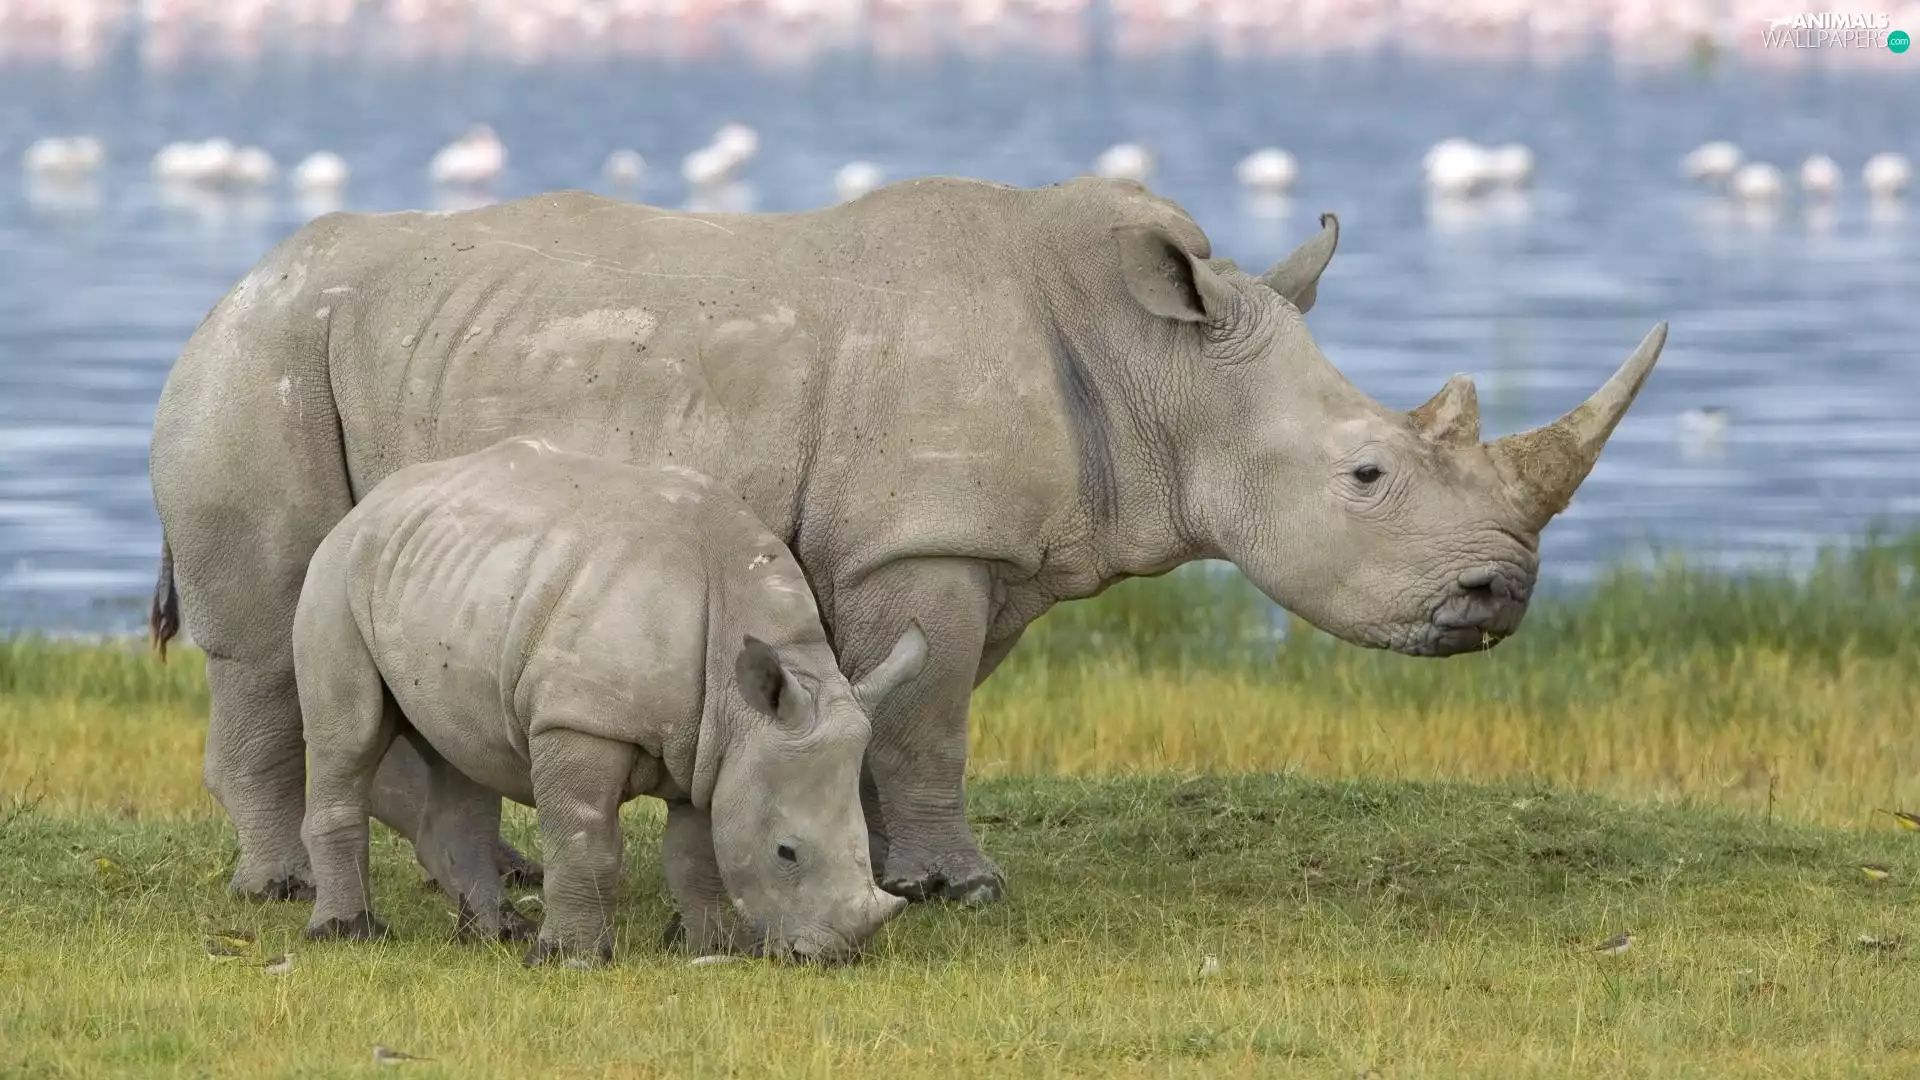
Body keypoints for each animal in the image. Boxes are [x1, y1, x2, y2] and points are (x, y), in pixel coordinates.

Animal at [295, 437, 922, 964]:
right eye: (786, 852)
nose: (832, 956)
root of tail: (375, 499)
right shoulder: (580, 721)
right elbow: (585, 840)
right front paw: (568, 960)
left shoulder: (712, 745)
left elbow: (697, 853)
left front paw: (714, 948)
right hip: (336, 571)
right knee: (347, 742)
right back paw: (347, 934)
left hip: (443, 574)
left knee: (462, 751)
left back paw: (496, 934)